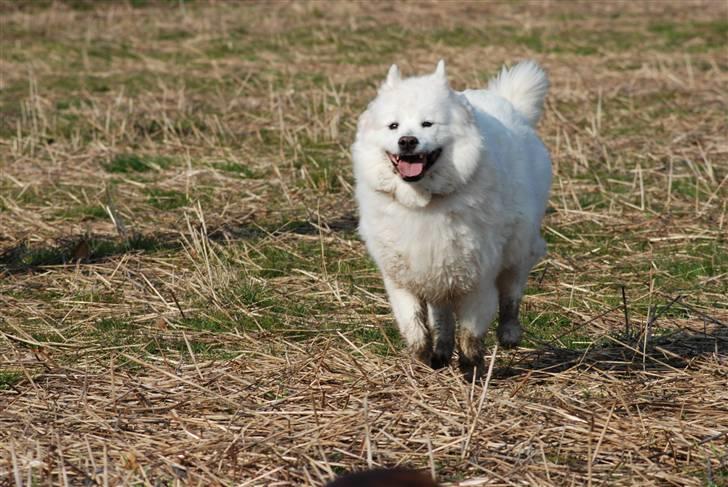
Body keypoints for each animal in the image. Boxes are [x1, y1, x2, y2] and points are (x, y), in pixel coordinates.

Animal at [352, 58, 552, 378]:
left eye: (427, 124)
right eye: (393, 125)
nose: (407, 141)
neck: (423, 203)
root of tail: (508, 104)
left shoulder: (476, 279)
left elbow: (471, 333)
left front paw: (471, 370)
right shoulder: (406, 276)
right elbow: (414, 324)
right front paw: (423, 354)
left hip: (518, 248)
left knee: (511, 293)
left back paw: (509, 333)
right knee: (443, 316)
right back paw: (441, 352)